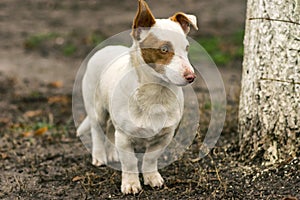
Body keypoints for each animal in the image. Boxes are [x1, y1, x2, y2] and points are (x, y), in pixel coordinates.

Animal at [77, 0, 198, 194]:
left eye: (187, 48)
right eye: (164, 49)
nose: (191, 77)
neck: (155, 94)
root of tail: (107, 47)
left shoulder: (164, 136)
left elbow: (149, 158)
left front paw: (152, 178)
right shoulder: (125, 137)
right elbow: (130, 162)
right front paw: (131, 184)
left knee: (110, 130)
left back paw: (112, 153)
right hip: (97, 110)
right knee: (97, 131)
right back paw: (100, 157)